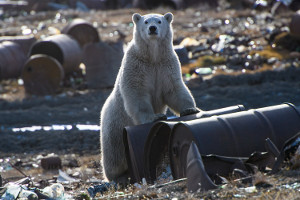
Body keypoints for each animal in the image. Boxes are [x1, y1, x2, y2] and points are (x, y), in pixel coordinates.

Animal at [99, 11, 200, 182]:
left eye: (159, 21)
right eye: (146, 22)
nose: (152, 28)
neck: (152, 57)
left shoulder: (167, 65)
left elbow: (175, 89)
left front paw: (190, 109)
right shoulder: (135, 66)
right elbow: (137, 94)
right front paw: (155, 117)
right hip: (113, 127)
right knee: (114, 153)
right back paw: (117, 174)